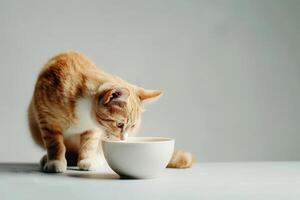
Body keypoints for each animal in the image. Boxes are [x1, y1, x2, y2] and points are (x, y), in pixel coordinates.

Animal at [27, 51, 192, 172]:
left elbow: (89, 144)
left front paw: (87, 160)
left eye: (132, 126)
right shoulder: (46, 120)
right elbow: (54, 143)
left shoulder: (93, 129)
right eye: (119, 124)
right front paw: (55, 161)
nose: (123, 139)